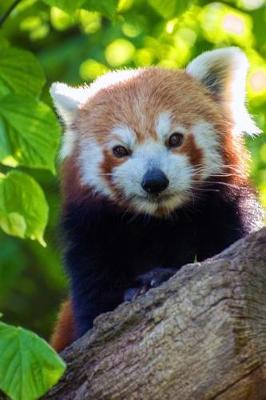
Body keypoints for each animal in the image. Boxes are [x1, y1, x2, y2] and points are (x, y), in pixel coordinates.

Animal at [50, 48, 264, 352]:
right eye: (120, 150)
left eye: (174, 139)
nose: (154, 181)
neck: (159, 224)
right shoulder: (90, 243)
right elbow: (93, 305)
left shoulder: (232, 216)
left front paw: (156, 277)